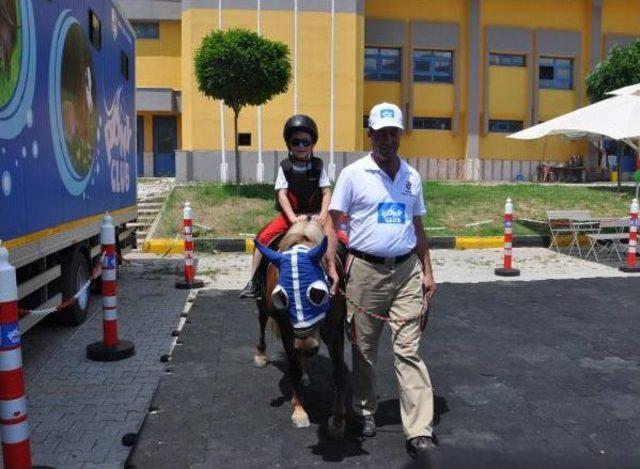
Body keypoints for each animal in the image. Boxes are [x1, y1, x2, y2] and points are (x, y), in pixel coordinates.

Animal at [252, 219, 348, 438]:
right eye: (281, 297)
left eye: (318, 294)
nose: (306, 347)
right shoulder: (287, 328)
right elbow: (293, 368)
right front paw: (299, 412)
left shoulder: (334, 328)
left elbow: (338, 371)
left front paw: (338, 421)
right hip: (263, 305)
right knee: (262, 320)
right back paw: (261, 354)